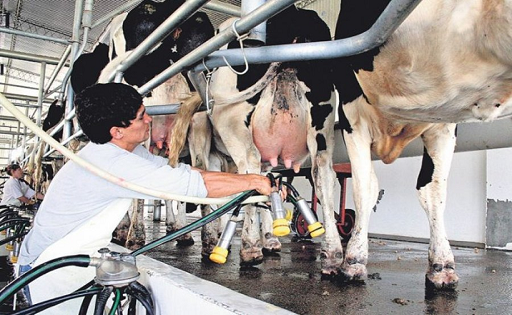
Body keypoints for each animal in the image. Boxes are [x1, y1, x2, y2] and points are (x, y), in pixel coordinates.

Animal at [169, 5, 336, 266]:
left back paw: (249, 248)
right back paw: (335, 256)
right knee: (323, 175)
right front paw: (269, 238)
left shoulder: (201, 133)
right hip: (322, 128)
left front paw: (211, 242)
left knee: (250, 169)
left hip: (234, 126)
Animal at [332, 0, 512, 292]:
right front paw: (353, 260)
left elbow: (432, 191)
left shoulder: (444, 124)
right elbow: (365, 188)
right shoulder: (351, 110)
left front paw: (441, 265)